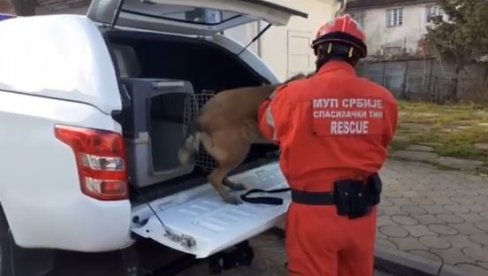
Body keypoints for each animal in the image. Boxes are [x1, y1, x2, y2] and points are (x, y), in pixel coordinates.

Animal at [179, 72, 312, 204]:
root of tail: (200, 115)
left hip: (229, 155)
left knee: (221, 175)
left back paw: (232, 186)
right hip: (238, 152)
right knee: (214, 177)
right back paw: (228, 198)